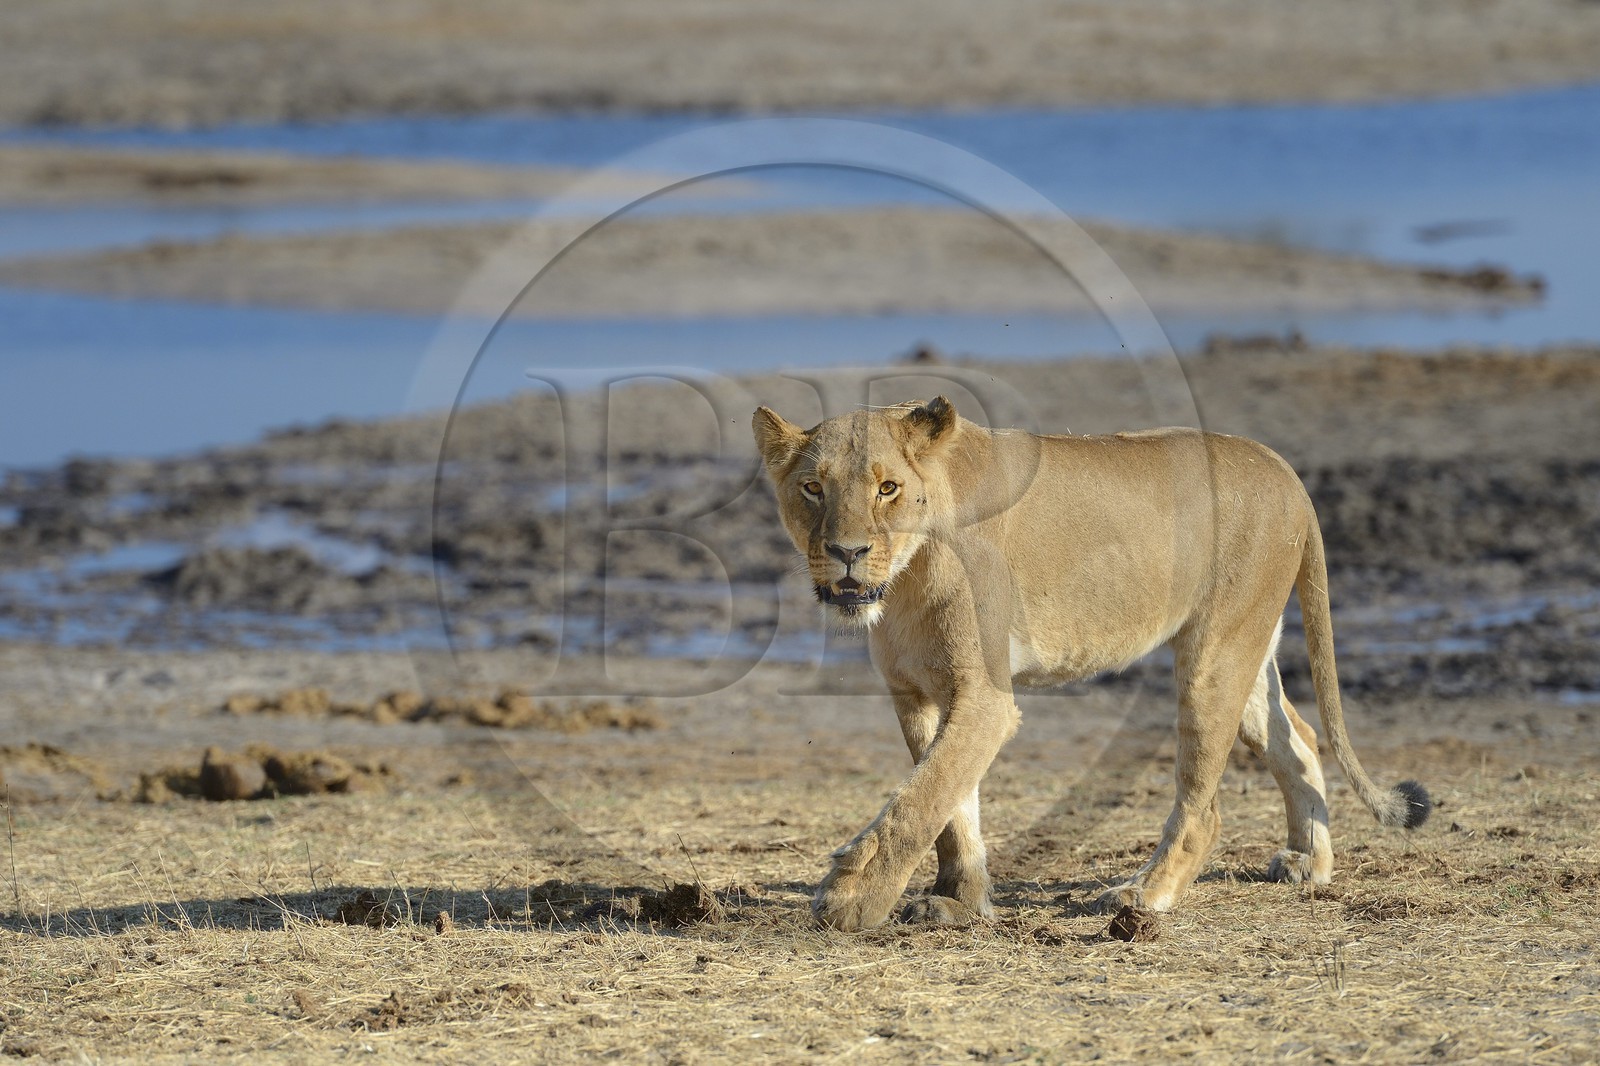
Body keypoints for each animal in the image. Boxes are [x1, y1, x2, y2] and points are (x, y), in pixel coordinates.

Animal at [752, 396, 1430, 931]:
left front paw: (851, 900)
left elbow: (919, 802)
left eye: (886, 488)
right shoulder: (916, 694)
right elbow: (949, 808)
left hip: (1212, 655)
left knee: (1204, 806)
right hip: (1248, 646)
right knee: (1300, 738)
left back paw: (1142, 895)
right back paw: (1308, 863)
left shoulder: (985, 698)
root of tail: (1284, 469)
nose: (846, 552)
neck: (905, 577)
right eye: (813, 488)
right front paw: (959, 902)